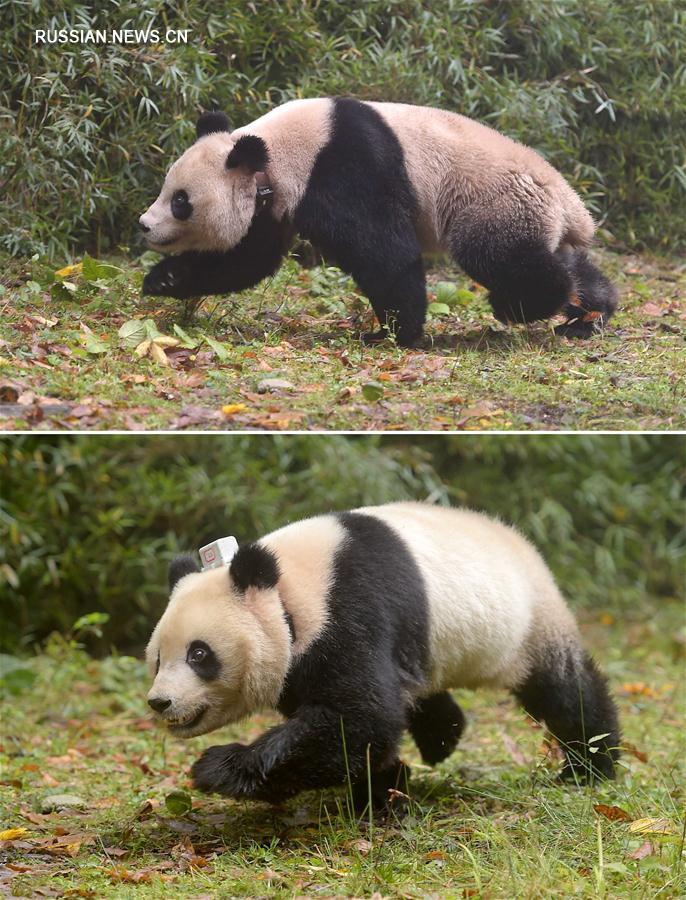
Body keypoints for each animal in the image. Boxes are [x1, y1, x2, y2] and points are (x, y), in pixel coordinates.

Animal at [138, 99, 620, 348]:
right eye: (168, 189)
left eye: (181, 202)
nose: (144, 225)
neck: (274, 151)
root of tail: (572, 207)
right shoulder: (273, 203)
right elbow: (247, 260)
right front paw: (164, 279)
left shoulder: (342, 167)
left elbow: (384, 252)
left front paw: (393, 334)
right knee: (562, 259)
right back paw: (589, 314)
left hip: (492, 202)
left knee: (501, 257)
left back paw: (520, 307)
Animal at [148, 500, 620, 808]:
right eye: (157, 658)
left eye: (199, 654)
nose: (160, 702)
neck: (289, 592)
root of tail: (521, 540)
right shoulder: (303, 660)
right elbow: (358, 723)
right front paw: (384, 787)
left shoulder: (351, 610)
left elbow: (360, 719)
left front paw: (218, 767)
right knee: (415, 688)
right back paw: (441, 738)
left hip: (527, 621)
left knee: (563, 689)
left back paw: (589, 766)